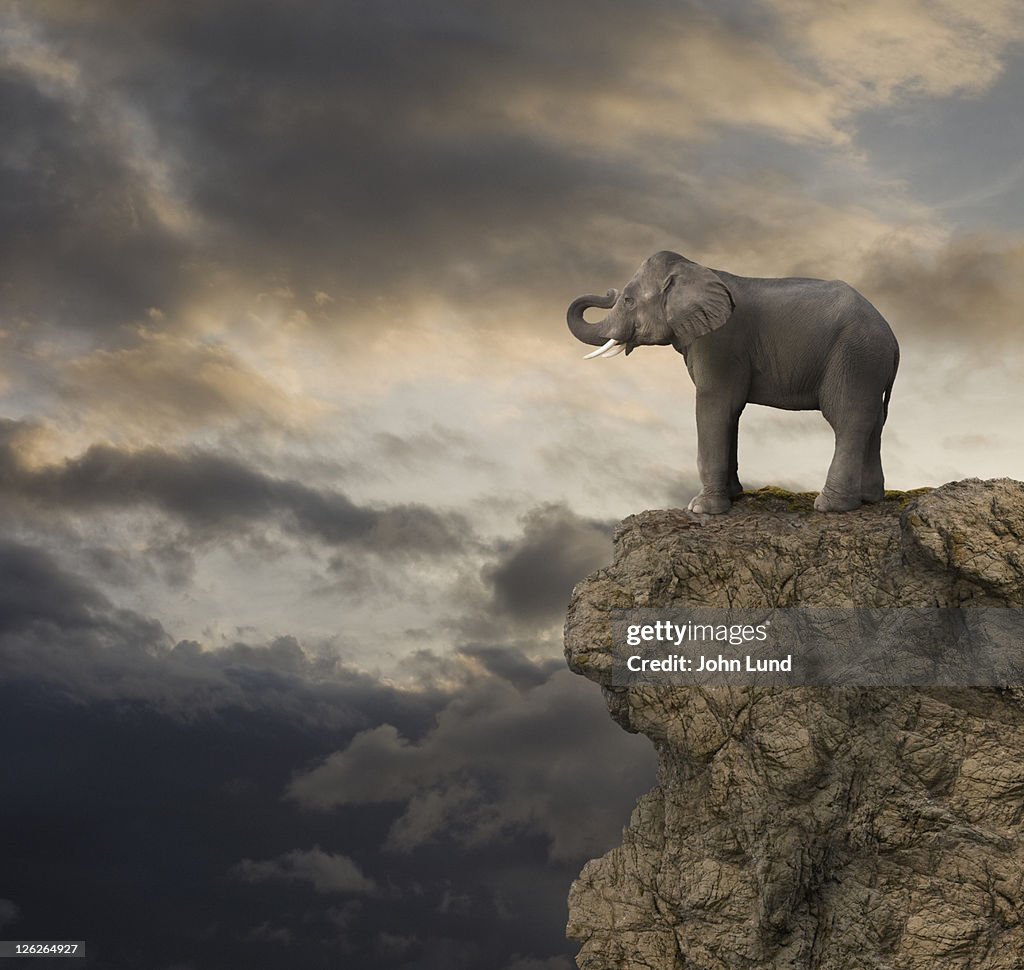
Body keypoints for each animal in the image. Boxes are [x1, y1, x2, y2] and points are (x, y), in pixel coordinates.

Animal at [573, 249, 901, 516]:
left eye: (628, 300)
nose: (608, 291)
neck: (695, 268)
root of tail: (892, 338)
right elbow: (730, 412)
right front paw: (733, 496)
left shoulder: (720, 342)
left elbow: (714, 404)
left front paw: (701, 509)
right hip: (868, 366)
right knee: (874, 421)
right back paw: (869, 499)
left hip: (854, 356)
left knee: (846, 419)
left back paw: (830, 506)